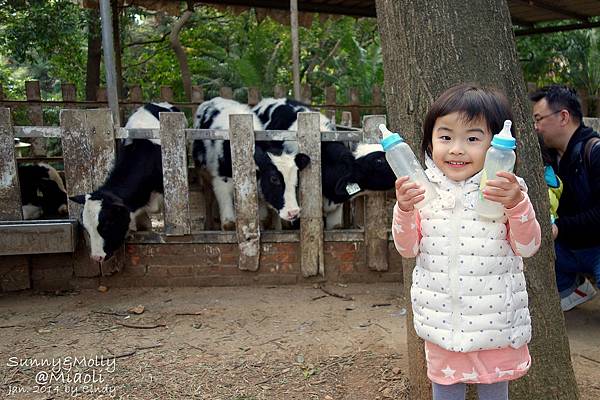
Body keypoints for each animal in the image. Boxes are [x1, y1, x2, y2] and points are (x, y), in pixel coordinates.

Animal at [195, 97, 312, 230]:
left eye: (296, 177)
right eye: (274, 179)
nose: (293, 212)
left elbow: (262, 219)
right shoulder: (221, 182)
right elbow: (228, 224)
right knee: (208, 199)